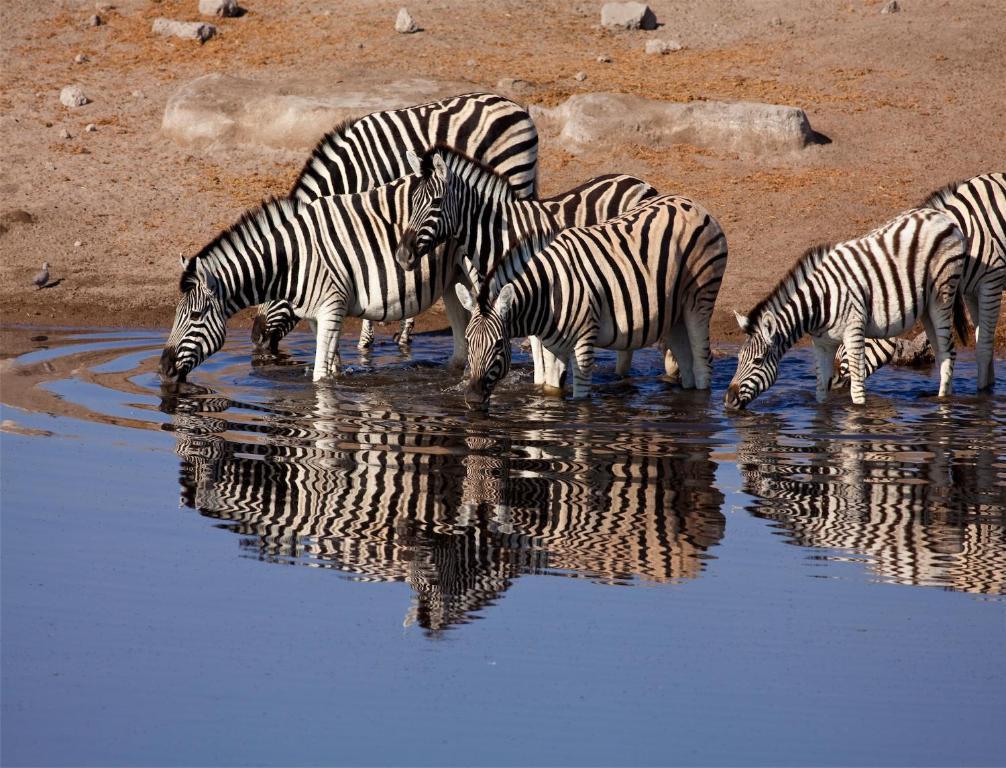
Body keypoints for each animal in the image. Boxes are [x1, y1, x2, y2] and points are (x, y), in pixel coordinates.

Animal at [249, 92, 543, 354]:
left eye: (276, 285)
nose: (255, 338)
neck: (350, 171)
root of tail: (518, 109)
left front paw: (367, 338)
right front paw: (402, 330)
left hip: (515, 172)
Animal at [724, 204, 965, 408]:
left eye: (757, 361)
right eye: (738, 359)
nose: (728, 400)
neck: (818, 303)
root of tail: (942, 216)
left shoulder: (854, 333)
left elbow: (857, 390)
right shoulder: (821, 343)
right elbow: (821, 388)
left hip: (942, 297)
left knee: (948, 352)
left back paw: (943, 403)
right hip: (926, 308)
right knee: (940, 353)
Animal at [849, 173, 1006, 390]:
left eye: (863, 339)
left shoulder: (992, 283)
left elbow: (983, 347)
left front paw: (982, 394)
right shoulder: (971, 291)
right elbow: (981, 340)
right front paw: (988, 386)